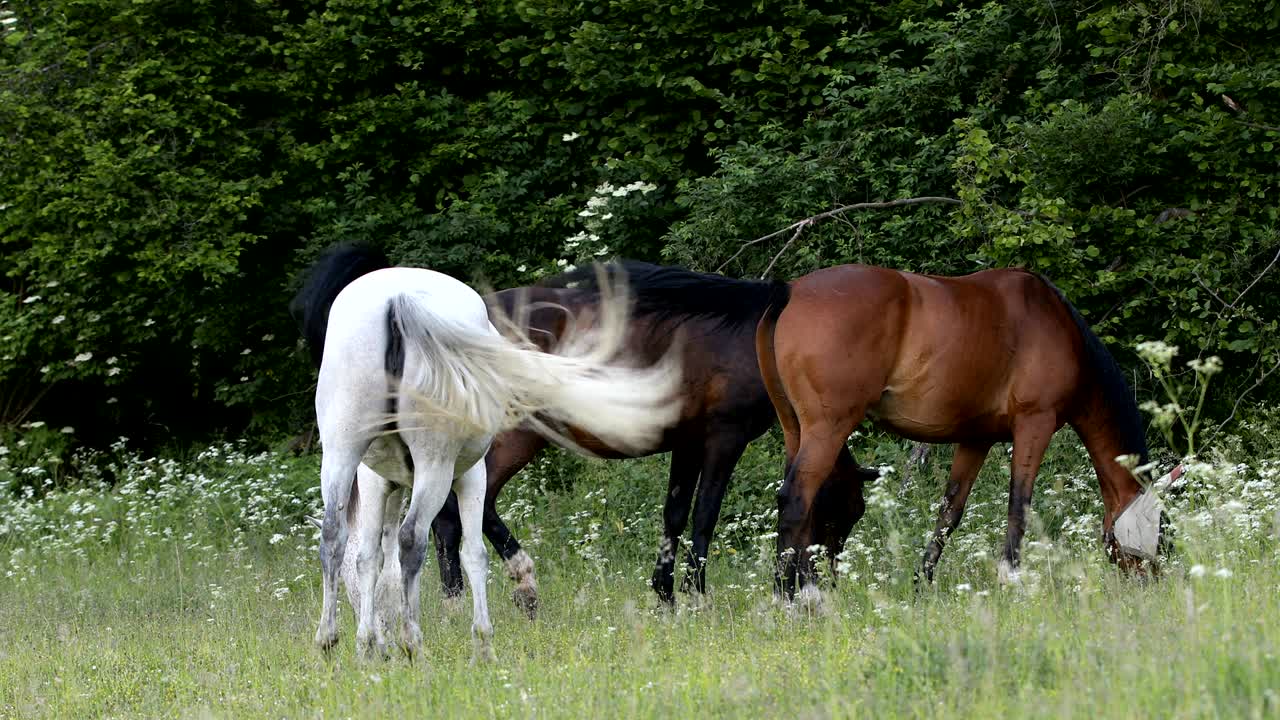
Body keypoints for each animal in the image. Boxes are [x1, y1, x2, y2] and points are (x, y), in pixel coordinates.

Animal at [290, 247, 682, 660]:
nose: (378, 644)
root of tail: (396, 300)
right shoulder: (470, 475)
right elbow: (473, 554)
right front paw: (482, 640)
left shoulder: (379, 482)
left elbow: (371, 558)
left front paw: (369, 643)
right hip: (435, 467)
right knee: (413, 539)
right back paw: (414, 643)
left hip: (341, 454)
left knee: (334, 537)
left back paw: (330, 639)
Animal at [755, 264, 1155, 598]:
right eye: (1160, 527)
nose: (1153, 580)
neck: (1054, 321)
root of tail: (790, 291)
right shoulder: (1034, 424)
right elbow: (1018, 505)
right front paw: (1011, 580)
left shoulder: (976, 439)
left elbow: (950, 513)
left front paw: (922, 584)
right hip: (829, 428)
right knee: (796, 499)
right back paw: (790, 599)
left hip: (796, 429)